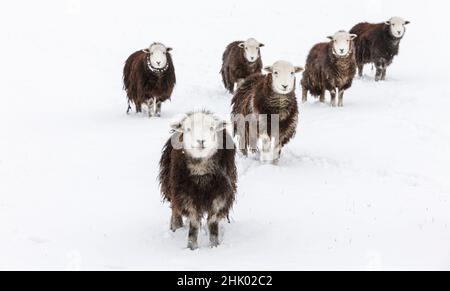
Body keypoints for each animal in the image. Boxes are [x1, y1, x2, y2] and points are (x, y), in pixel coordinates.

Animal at [157, 110, 236, 250]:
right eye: (188, 129)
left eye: (211, 128)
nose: (201, 141)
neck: (201, 172)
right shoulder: (185, 194)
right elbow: (193, 223)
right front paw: (192, 247)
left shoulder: (221, 195)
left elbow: (212, 221)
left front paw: (214, 245)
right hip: (171, 185)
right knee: (175, 208)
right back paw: (176, 226)